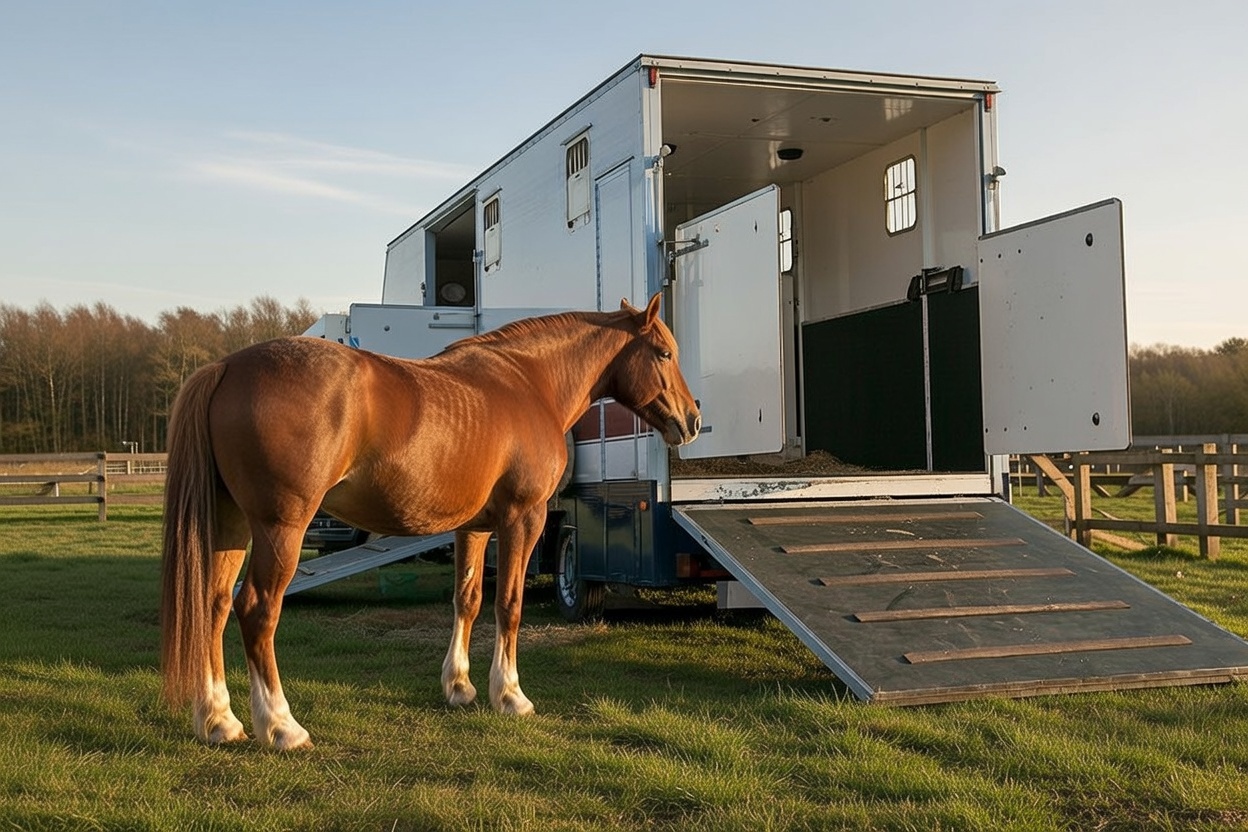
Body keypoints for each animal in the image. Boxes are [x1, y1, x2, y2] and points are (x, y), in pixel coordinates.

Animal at [159, 293, 700, 749]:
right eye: (663, 353)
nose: (692, 420)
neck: (529, 383)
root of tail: (226, 366)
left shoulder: (475, 525)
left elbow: (468, 599)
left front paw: (459, 687)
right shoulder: (522, 517)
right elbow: (509, 604)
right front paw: (510, 695)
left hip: (231, 526)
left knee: (214, 605)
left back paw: (219, 721)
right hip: (280, 528)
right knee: (256, 609)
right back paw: (280, 726)